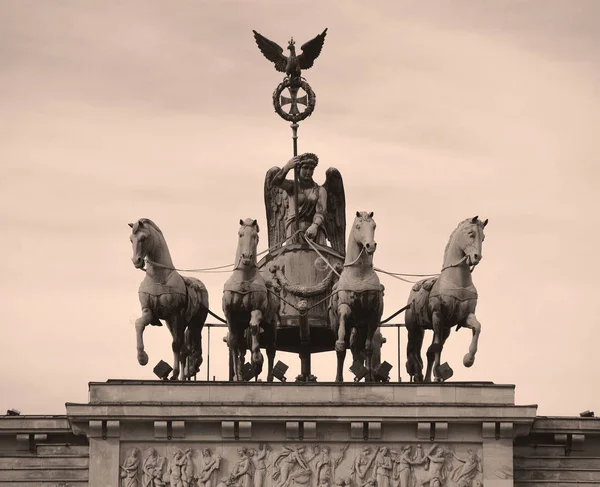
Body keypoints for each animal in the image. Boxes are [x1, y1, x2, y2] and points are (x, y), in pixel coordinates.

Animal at [128, 217, 209, 382]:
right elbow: (139, 324)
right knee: (185, 350)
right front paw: (142, 358)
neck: (158, 277)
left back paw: (190, 369)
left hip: (194, 323)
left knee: (192, 346)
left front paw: (175, 373)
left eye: (143, 238)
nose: (136, 261)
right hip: (171, 324)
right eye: (131, 239)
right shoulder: (150, 312)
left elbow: (175, 345)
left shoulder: (175, 314)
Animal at [223, 219, 278, 384]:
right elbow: (233, 341)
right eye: (240, 234)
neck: (244, 280)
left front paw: (257, 361)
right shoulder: (230, 316)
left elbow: (254, 326)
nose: (246, 257)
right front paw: (238, 375)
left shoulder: (256, 309)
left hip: (271, 323)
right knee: (239, 347)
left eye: (255, 236)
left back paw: (268, 377)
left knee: (271, 349)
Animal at [328, 212, 384, 384]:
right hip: (339, 325)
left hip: (360, 328)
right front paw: (338, 379)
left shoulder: (373, 315)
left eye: (374, 226)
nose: (370, 245)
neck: (359, 273)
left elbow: (368, 348)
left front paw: (370, 377)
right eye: (358, 226)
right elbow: (340, 345)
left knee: (357, 350)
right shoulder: (344, 308)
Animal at [406, 215, 490, 384]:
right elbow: (437, 346)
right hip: (414, 328)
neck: (457, 281)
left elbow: (477, 327)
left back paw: (427, 379)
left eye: (483, 238)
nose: (477, 257)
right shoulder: (438, 315)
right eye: (471, 234)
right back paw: (418, 375)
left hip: (444, 329)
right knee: (413, 351)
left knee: (427, 353)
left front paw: (468, 359)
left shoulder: (463, 317)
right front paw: (438, 373)